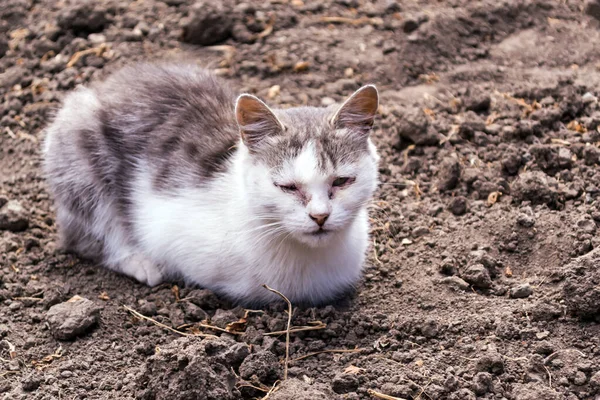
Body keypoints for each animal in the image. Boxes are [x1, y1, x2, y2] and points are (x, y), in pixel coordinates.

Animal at [43, 63, 380, 306]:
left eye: (342, 181)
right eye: (287, 187)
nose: (320, 216)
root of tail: (103, 86)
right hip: (77, 147)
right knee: (83, 234)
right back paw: (139, 261)